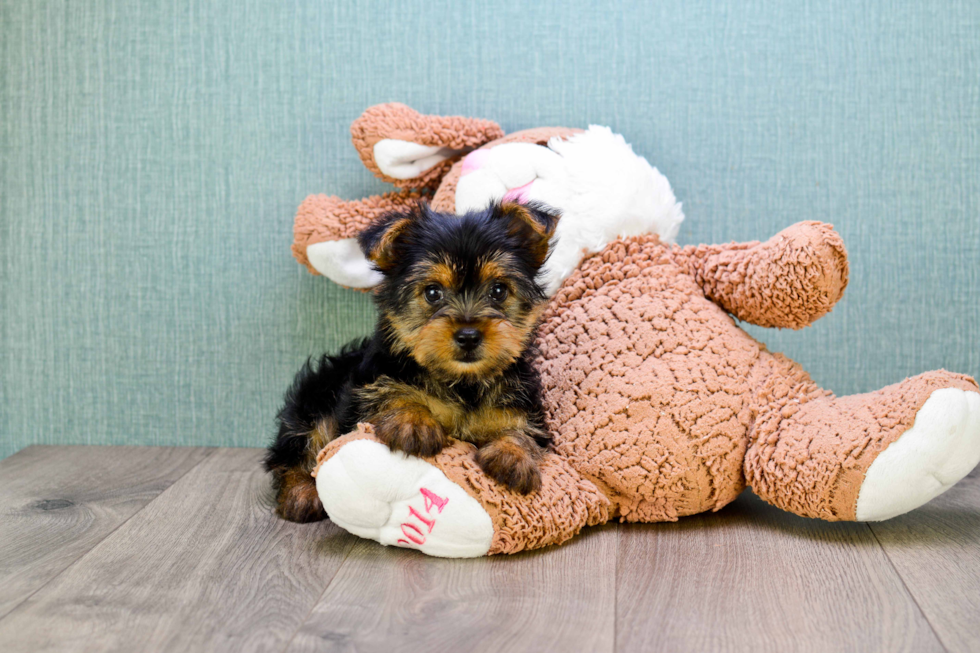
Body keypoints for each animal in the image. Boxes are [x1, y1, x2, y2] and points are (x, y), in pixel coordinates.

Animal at [266, 201, 560, 524]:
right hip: (312, 400)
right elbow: (391, 392)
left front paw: (513, 453)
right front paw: (413, 420)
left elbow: (524, 430)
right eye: (432, 292)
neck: (463, 381)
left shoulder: (522, 403)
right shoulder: (367, 388)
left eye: (498, 290)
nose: (468, 336)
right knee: (298, 447)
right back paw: (301, 493)